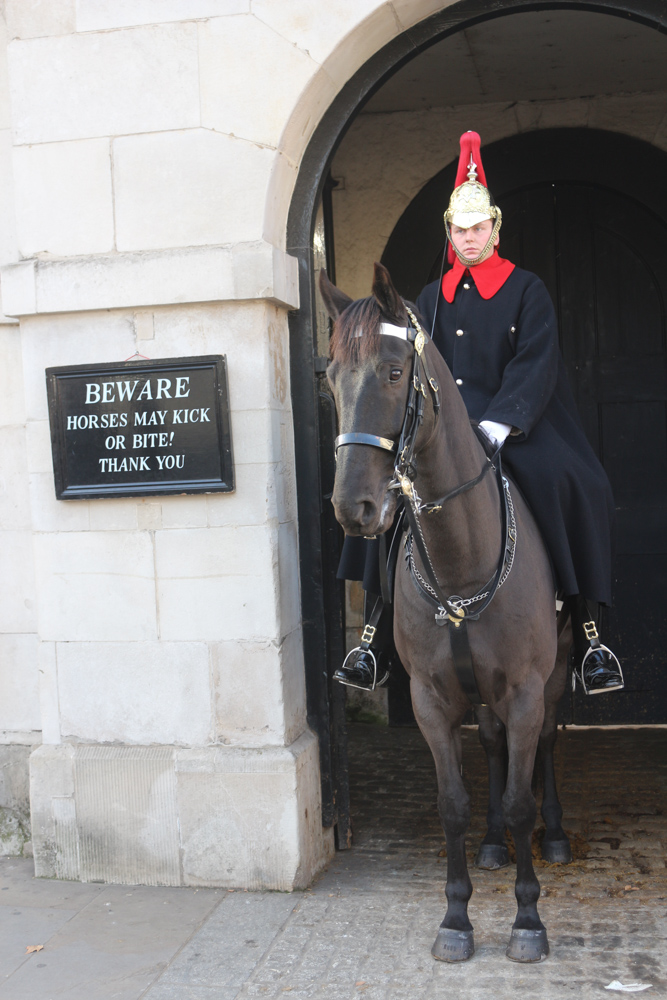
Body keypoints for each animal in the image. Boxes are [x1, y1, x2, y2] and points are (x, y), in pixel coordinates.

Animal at [322, 264, 576, 960]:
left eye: (393, 371)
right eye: (330, 377)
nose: (353, 507)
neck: (462, 554)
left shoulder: (525, 689)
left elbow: (519, 797)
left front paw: (527, 919)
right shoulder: (432, 699)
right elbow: (453, 802)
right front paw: (457, 918)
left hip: (555, 674)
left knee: (546, 741)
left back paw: (554, 835)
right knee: (489, 744)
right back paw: (491, 845)